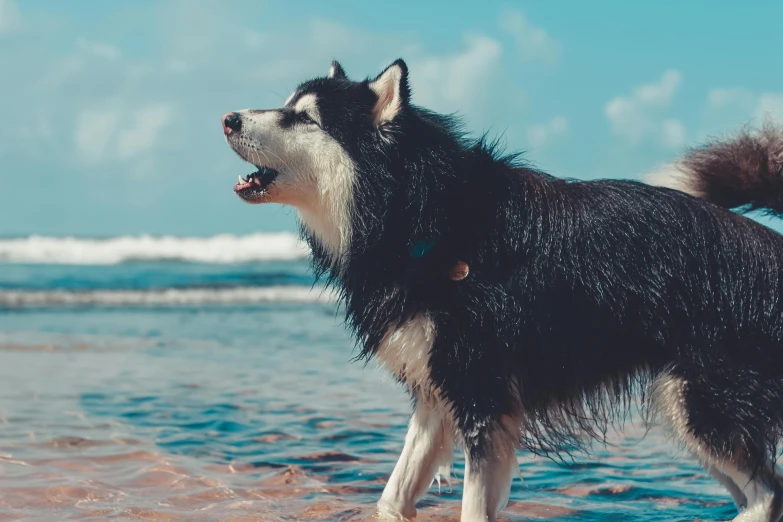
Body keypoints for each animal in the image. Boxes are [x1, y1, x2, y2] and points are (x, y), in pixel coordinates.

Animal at [222, 59, 783, 516]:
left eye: (304, 118)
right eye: (286, 105)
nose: (227, 119)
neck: (422, 217)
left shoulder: (481, 395)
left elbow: (471, 505)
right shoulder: (437, 392)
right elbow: (392, 497)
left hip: (700, 403)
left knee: (766, 496)